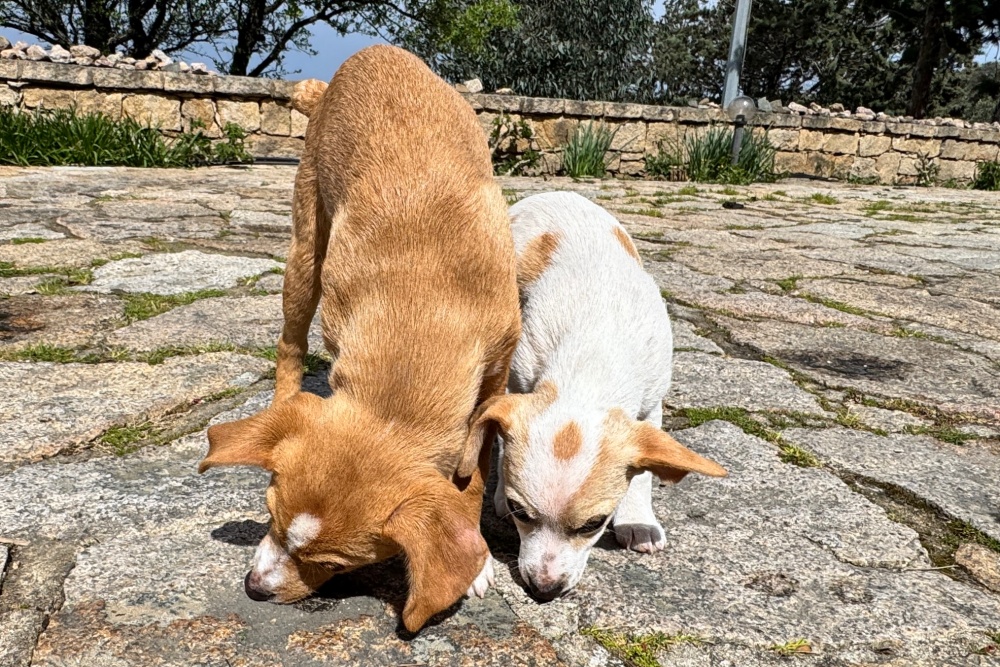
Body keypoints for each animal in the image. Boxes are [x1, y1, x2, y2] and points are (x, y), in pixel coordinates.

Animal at [198, 45, 521, 632]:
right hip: (306, 249)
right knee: (289, 343)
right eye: (268, 515)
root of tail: (369, 54)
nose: (254, 589)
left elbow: (474, 470)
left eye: (332, 564)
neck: (420, 316)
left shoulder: (495, 377)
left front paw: (476, 548)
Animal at [466, 191, 727, 600]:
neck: (592, 356)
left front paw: (637, 521)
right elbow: (504, 441)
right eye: (521, 513)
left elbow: (642, 474)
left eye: (595, 524)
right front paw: (499, 496)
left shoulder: (650, 406)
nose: (544, 590)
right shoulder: (516, 383)